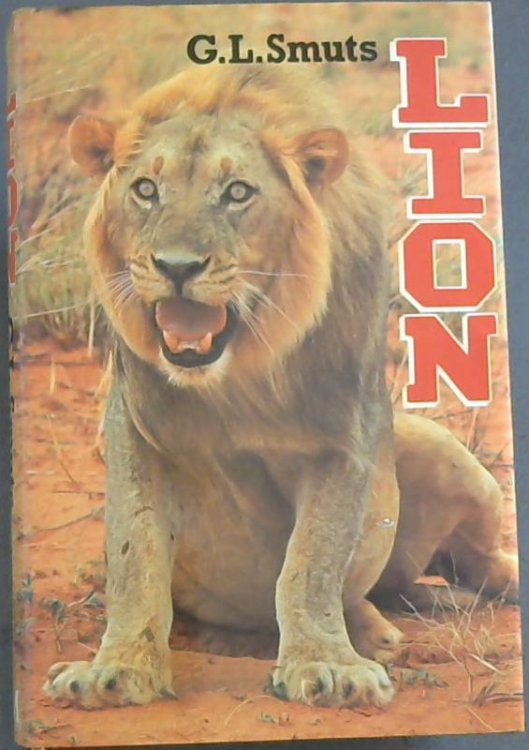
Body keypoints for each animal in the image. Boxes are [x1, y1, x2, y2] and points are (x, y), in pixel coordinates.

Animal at [44, 66, 518, 711]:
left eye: (238, 193)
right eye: (145, 189)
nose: (177, 266)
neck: (236, 375)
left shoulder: (345, 436)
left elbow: (310, 560)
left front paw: (327, 665)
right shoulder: (135, 427)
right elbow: (133, 554)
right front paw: (116, 670)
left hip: (445, 453)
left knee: (475, 565)